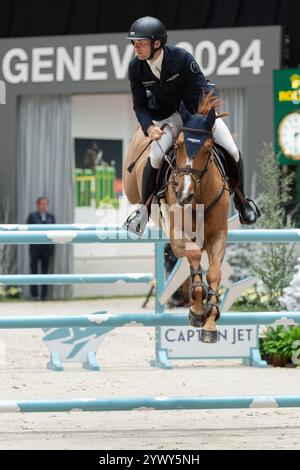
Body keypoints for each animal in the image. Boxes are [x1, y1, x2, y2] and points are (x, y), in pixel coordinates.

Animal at [123, 92, 230, 342]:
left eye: (208, 148)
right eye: (179, 145)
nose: (183, 194)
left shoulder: (218, 237)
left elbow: (213, 273)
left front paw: (210, 322)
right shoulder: (177, 238)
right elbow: (194, 256)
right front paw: (197, 312)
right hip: (132, 182)